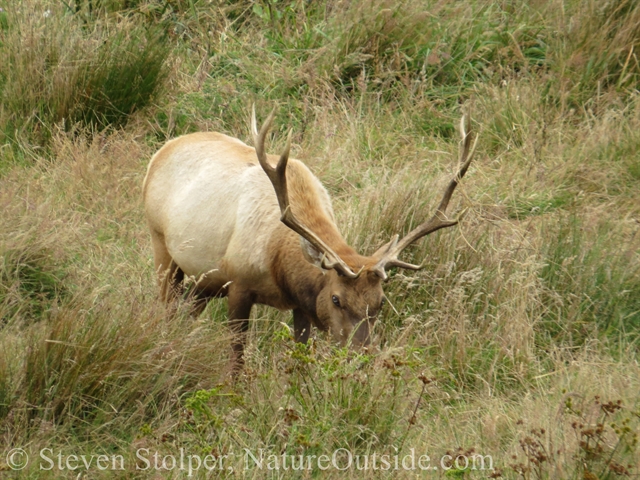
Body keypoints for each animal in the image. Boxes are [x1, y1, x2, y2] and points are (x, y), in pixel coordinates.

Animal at [144, 109, 476, 370]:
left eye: (381, 302)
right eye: (336, 299)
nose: (362, 357)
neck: (277, 261)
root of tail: (162, 150)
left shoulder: (300, 305)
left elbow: (300, 355)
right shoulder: (237, 282)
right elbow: (237, 357)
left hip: (204, 279)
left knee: (186, 309)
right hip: (161, 244)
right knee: (166, 307)